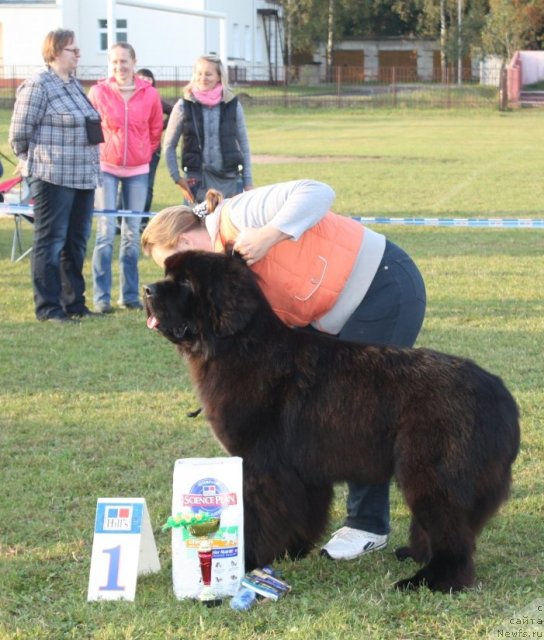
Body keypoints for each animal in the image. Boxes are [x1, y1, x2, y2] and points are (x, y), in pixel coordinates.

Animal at [143, 248, 520, 592]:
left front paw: (248, 560)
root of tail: (498, 392)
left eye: (186, 282)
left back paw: (431, 580)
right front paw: (291, 550)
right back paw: (416, 556)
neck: (237, 345)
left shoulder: (260, 466)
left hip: (431, 473)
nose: (147, 289)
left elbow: (260, 517)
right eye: (167, 274)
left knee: (452, 534)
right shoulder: (300, 471)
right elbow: (300, 512)